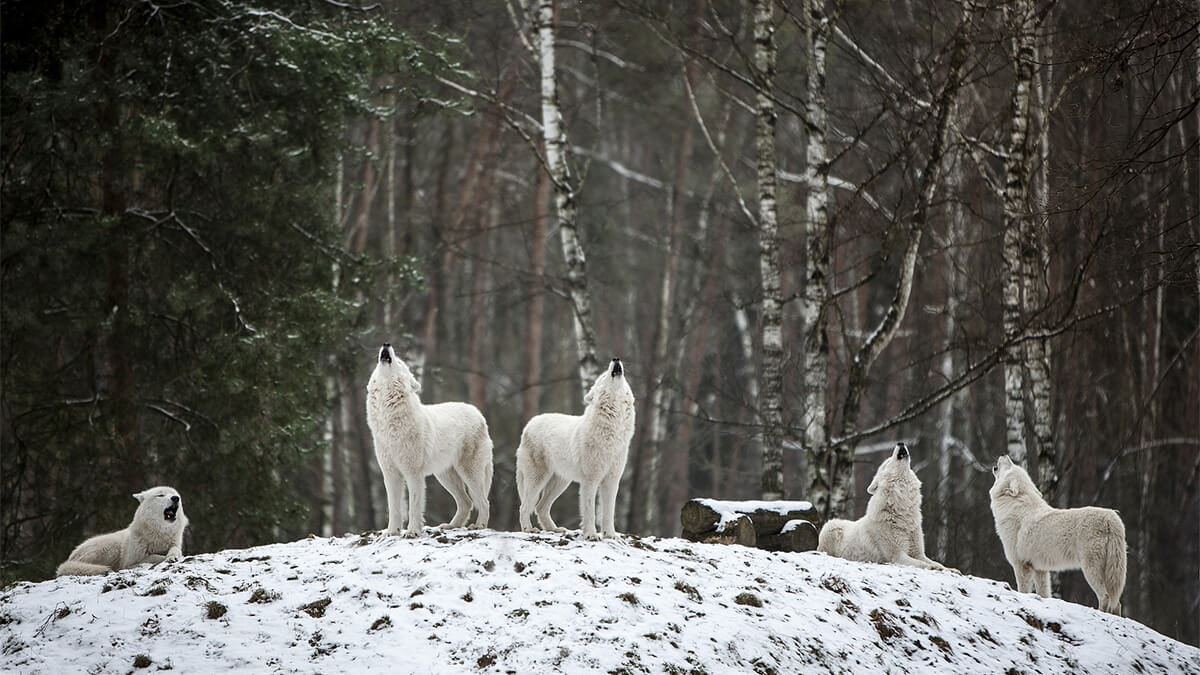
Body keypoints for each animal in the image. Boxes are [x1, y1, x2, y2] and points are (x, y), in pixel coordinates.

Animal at [57, 485, 188, 576]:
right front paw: (163, 557)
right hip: (110, 548)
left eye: (175, 494)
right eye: (160, 495)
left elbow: (175, 550)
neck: (159, 534)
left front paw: (172, 556)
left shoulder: (175, 544)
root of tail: (69, 559)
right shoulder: (129, 562)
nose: (176, 498)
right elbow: (152, 557)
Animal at [367, 341, 494, 535]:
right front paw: (392, 532)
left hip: (469, 473)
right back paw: (451, 526)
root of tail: (478, 413)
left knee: (483, 502)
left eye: (399, 363)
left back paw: (479, 526)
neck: (389, 422)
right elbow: (394, 508)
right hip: (445, 476)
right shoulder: (390, 474)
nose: (386, 344)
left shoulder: (413, 474)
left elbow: (414, 506)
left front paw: (412, 532)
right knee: (466, 502)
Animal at [516, 355, 638, 538]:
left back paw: (554, 529)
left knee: (540, 507)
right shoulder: (590, 480)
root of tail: (529, 424)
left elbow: (609, 512)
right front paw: (591, 535)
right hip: (538, 479)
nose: (615, 358)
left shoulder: (612, 480)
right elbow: (589, 511)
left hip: (560, 483)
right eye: (603, 376)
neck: (613, 432)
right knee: (524, 506)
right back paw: (528, 529)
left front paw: (610, 535)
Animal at [816, 444, 955, 569]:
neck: (902, 512)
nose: (900, 443)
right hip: (831, 526)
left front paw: (951, 569)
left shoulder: (918, 553)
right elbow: (923, 564)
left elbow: (936, 563)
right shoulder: (897, 555)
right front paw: (934, 568)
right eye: (888, 462)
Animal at [984, 454, 1123, 612]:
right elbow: (1044, 594)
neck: (1015, 505)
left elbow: (1023, 590)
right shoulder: (1040, 569)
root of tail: (1110, 517)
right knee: (1116, 602)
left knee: (1105, 597)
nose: (1005, 455)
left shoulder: (1021, 565)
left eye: (1010, 466)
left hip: (1090, 569)